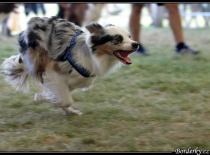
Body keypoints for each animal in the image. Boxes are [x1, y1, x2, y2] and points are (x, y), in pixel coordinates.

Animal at [2, 16, 139, 115]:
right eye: (118, 38)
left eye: (129, 36)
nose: (136, 44)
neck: (91, 53)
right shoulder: (53, 72)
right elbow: (65, 99)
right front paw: (44, 98)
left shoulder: (73, 81)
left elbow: (63, 96)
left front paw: (55, 102)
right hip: (38, 59)